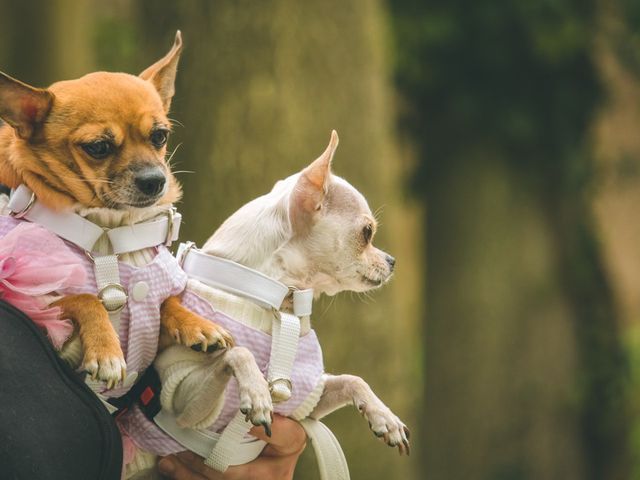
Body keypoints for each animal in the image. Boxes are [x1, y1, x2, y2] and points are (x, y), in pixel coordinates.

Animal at [0, 31, 232, 388]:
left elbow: (167, 302)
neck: (111, 231)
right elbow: (85, 299)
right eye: (98, 147)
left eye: (160, 136)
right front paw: (106, 350)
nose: (155, 180)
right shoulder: (33, 300)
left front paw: (196, 323)